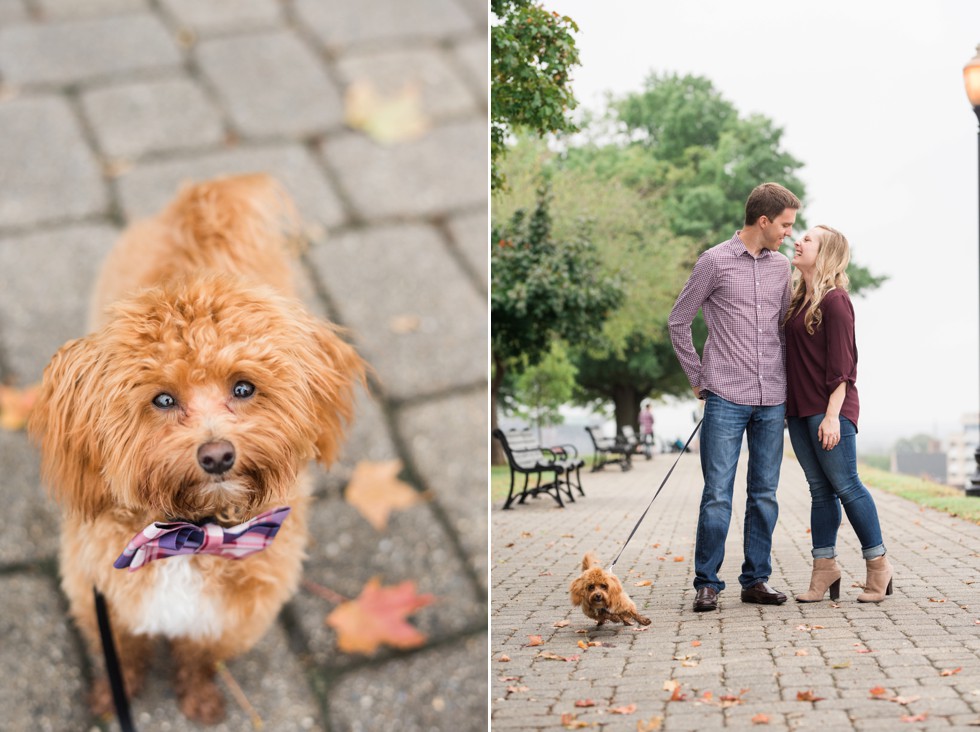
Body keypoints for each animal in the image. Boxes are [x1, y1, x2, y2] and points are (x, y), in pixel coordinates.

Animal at [29, 174, 364, 724]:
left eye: (244, 388)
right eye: (163, 399)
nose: (217, 456)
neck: (192, 535)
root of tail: (201, 207)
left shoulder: (231, 616)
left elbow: (199, 654)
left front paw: (200, 698)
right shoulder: (100, 597)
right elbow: (124, 652)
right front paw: (114, 695)